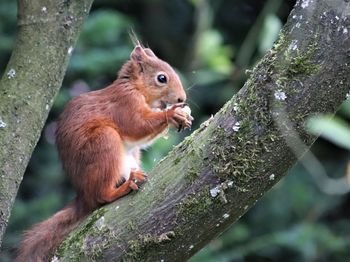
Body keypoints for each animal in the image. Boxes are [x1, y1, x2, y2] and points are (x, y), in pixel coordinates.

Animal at [17, 44, 191, 260]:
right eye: (161, 78)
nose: (182, 99)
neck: (134, 87)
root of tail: (83, 195)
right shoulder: (125, 104)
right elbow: (137, 125)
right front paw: (173, 113)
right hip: (104, 142)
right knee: (101, 196)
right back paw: (122, 188)